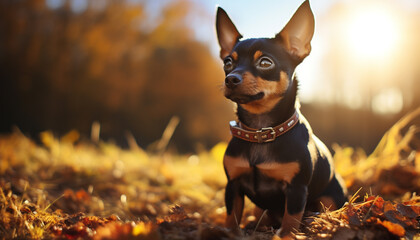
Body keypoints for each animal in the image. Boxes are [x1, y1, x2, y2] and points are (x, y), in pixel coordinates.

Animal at [217, 1, 348, 238]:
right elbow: (231, 217)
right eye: (228, 62)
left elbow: (290, 220)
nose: (231, 78)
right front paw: (229, 232)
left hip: (330, 198)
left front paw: (286, 235)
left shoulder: (296, 190)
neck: (261, 131)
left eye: (265, 62)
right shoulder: (233, 185)